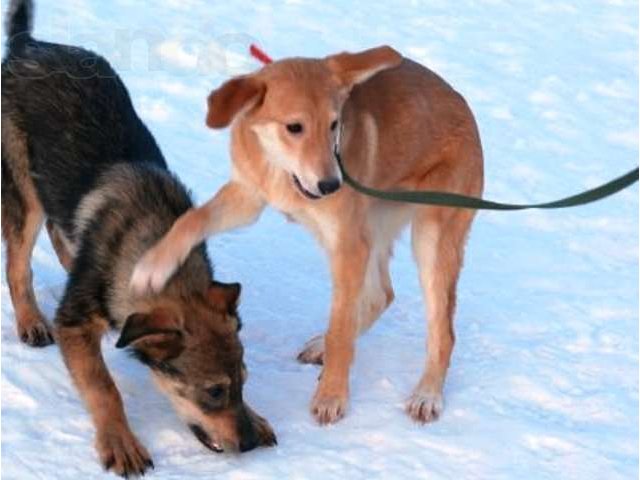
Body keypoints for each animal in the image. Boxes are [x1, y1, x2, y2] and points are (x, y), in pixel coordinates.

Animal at [0, 0, 276, 474]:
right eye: (213, 391)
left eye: (243, 382)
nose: (250, 444)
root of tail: (28, 44)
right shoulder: (74, 323)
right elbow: (103, 388)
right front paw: (120, 442)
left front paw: (257, 416)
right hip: (23, 189)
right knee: (18, 264)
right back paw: (31, 321)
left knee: (59, 230)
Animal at [130, 46, 482, 424]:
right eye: (294, 128)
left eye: (334, 125)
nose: (331, 185)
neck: (283, 173)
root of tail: (466, 109)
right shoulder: (248, 197)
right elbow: (191, 220)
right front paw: (152, 266)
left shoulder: (348, 245)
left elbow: (340, 329)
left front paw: (332, 395)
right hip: (370, 228)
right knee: (381, 294)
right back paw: (321, 346)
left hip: (429, 236)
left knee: (441, 332)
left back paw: (427, 394)